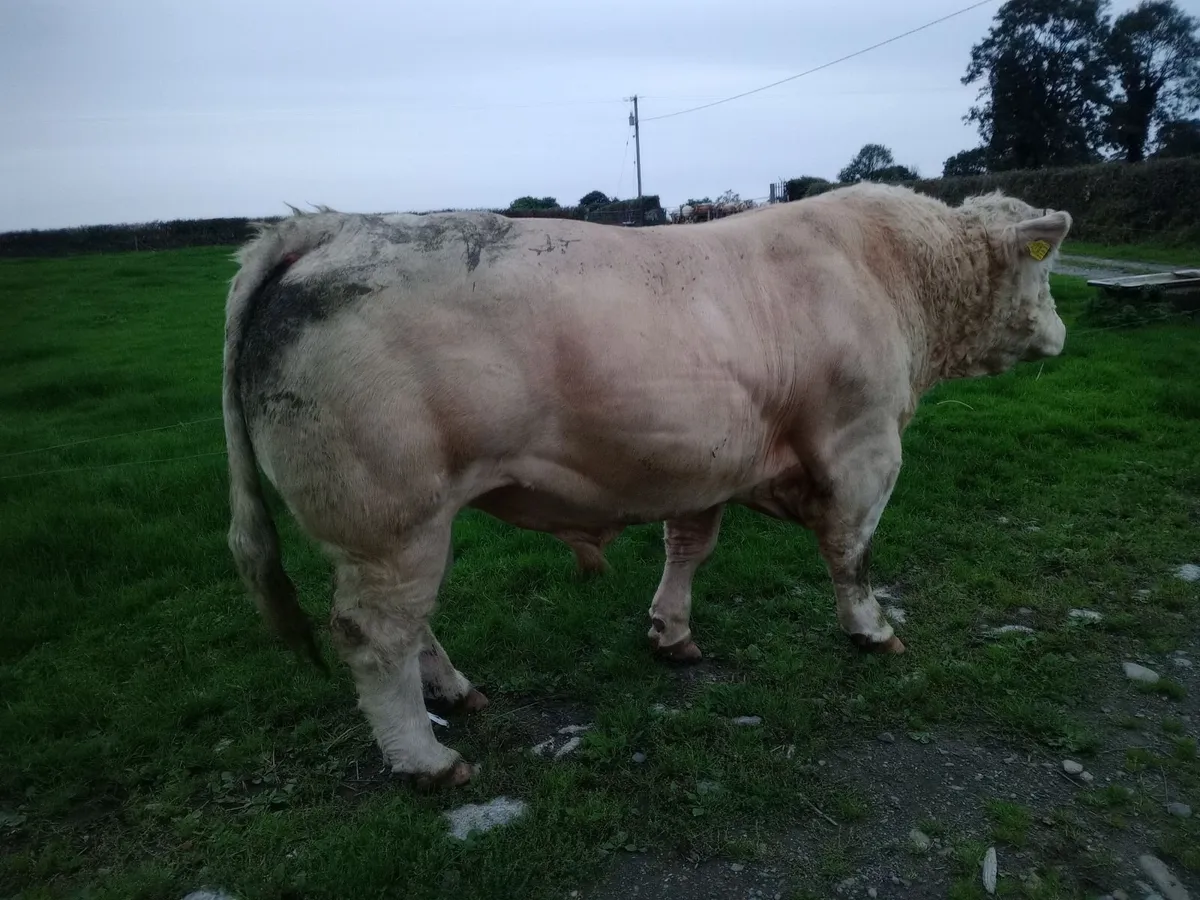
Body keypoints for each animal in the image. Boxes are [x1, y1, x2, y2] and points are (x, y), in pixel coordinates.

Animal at [222, 183, 1071, 787]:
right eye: (1044, 266)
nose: (1062, 332)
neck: (894, 272)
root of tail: (332, 227)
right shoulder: (862, 445)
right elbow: (852, 552)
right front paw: (872, 629)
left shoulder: (705, 462)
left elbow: (689, 546)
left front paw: (671, 632)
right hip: (391, 516)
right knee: (376, 636)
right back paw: (426, 761)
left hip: (400, 527)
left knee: (409, 624)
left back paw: (456, 694)